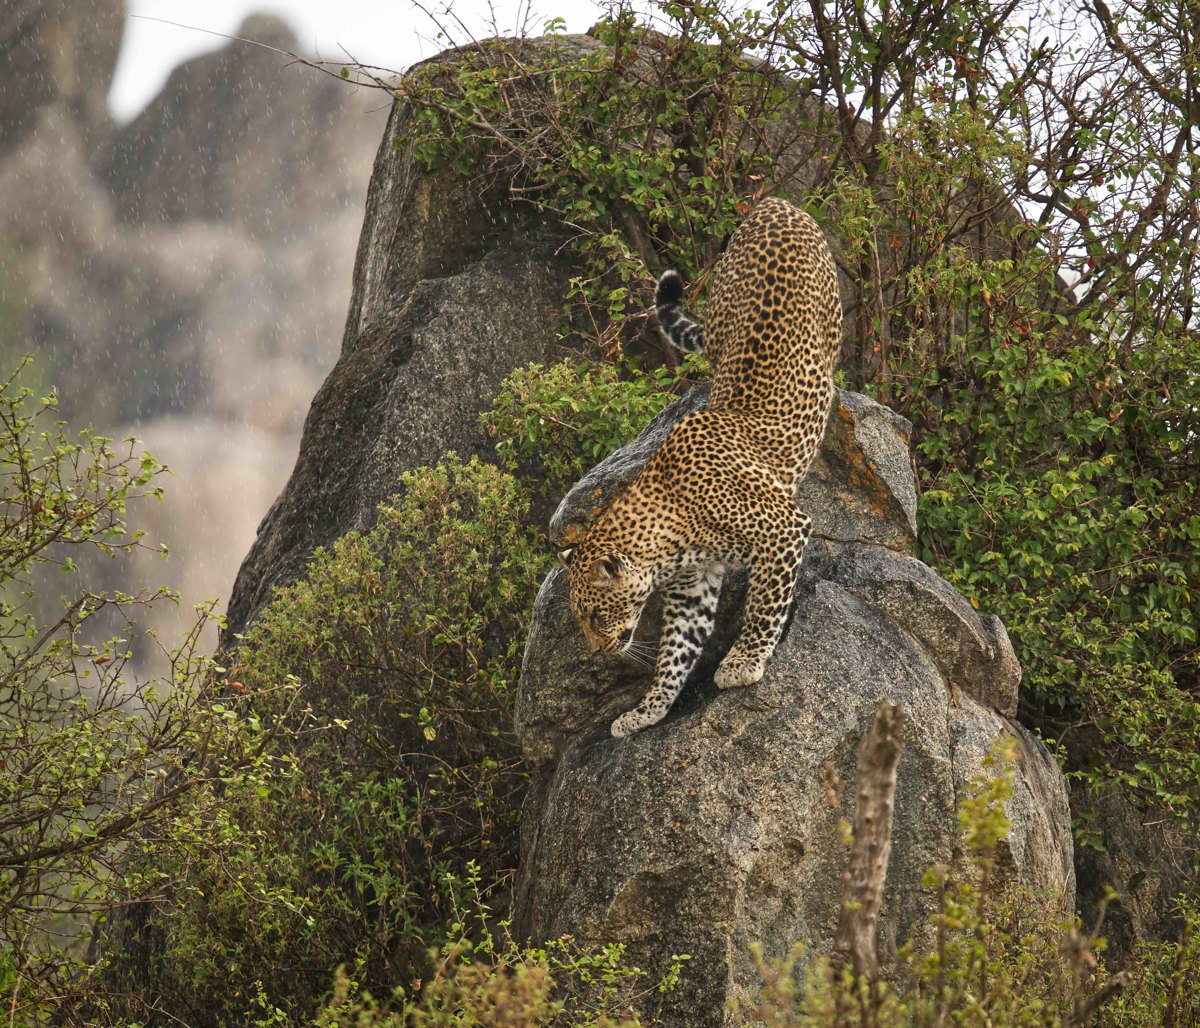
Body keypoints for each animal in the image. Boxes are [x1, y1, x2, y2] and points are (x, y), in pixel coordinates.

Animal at [558, 197, 842, 738]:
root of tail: (773, 204)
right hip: (718, 323)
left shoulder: (782, 529)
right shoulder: (692, 589)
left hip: (830, 317)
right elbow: (675, 653)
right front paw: (646, 710)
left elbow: (764, 606)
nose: (598, 653)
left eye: (593, 614)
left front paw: (742, 663)